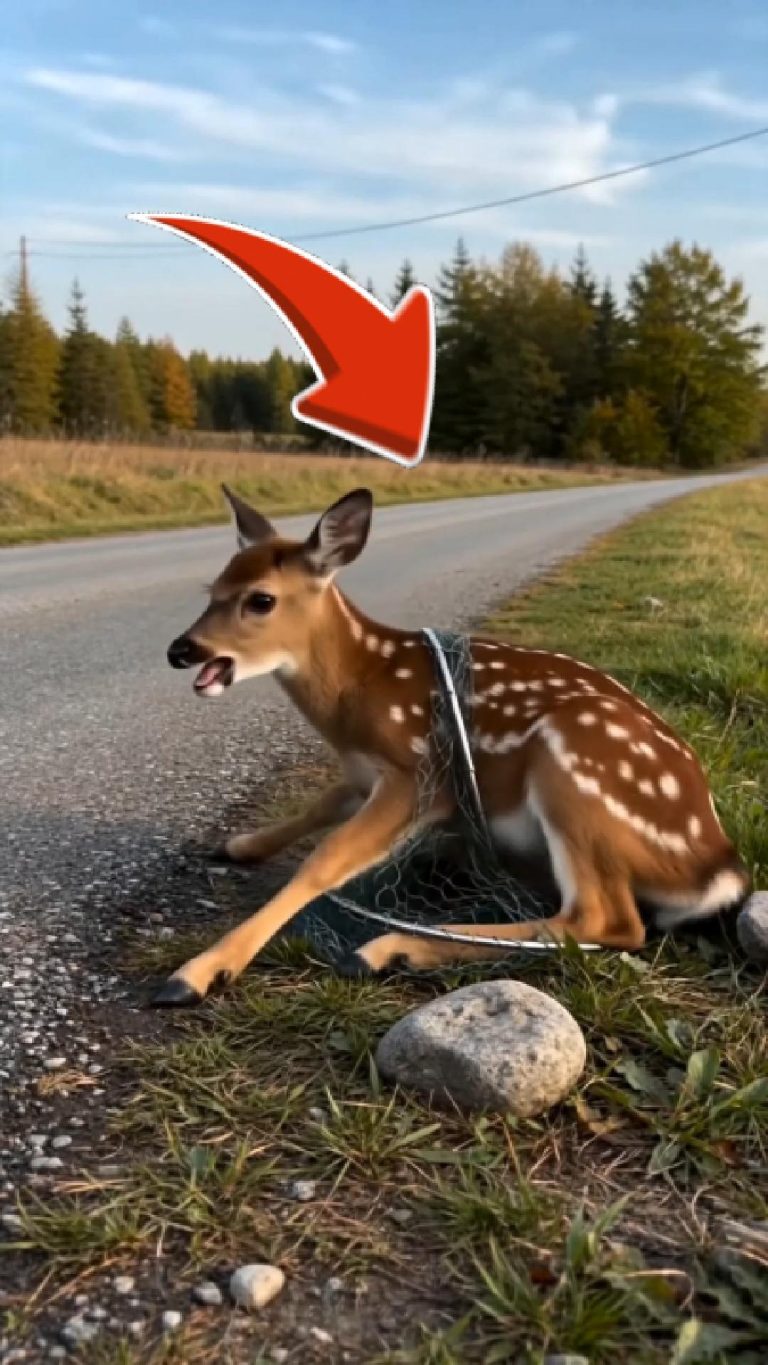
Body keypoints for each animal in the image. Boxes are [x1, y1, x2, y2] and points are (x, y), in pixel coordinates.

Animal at [155, 485, 751, 1006]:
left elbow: (325, 860)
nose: (180, 649)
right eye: (213, 590)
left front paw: (199, 973)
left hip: (574, 766)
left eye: (261, 600)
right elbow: (321, 805)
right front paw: (239, 845)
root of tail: (717, 867)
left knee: (607, 921)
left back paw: (385, 948)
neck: (359, 693)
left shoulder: (419, 772)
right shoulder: (363, 774)